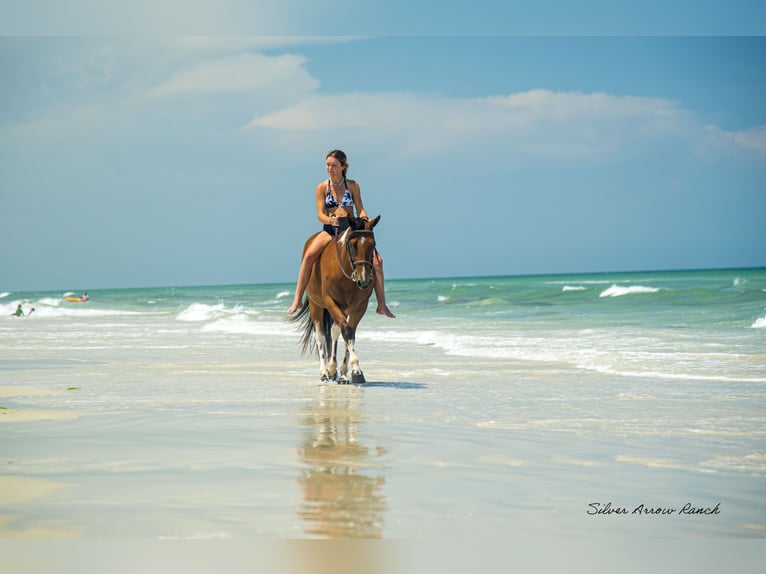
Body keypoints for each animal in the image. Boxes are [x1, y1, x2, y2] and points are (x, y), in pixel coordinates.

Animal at [292, 216, 380, 388]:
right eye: (352, 245)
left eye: (373, 245)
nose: (364, 281)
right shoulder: (330, 301)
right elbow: (346, 331)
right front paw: (356, 370)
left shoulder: (359, 307)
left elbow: (350, 333)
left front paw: (347, 373)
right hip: (316, 305)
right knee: (320, 336)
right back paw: (324, 373)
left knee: (333, 331)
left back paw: (334, 371)